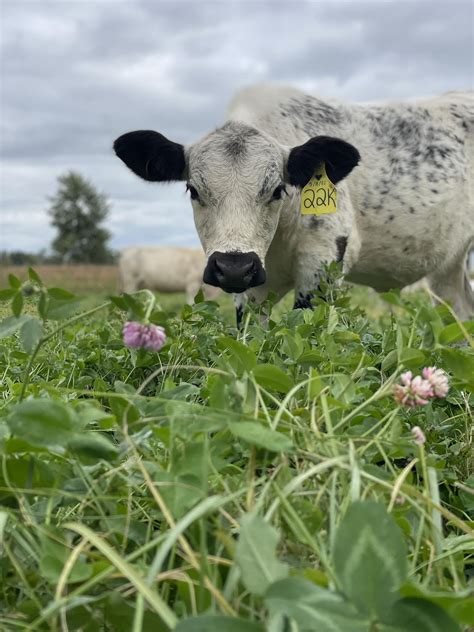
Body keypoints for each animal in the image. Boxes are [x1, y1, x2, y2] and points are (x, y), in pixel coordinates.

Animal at [113, 84, 472, 320]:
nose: (233, 267)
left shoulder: (323, 262)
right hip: (448, 267)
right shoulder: (251, 286)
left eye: (277, 189)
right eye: (193, 190)